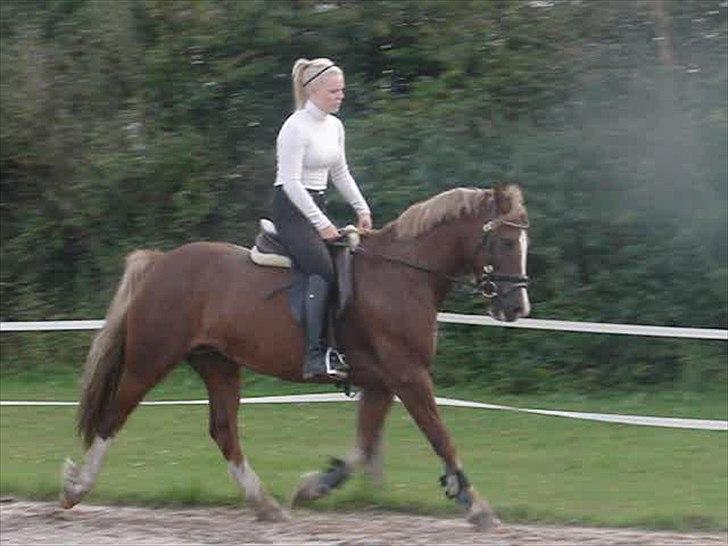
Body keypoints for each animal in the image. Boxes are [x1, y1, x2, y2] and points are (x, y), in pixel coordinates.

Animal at [61, 183, 528, 528]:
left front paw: (314, 486)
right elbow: (441, 437)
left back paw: (265, 504)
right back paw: (75, 489)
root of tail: (160, 263)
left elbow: (364, 447)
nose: (517, 308)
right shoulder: (409, 376)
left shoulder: (382, 383)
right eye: (505, 241)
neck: (402, 275)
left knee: (223, 430)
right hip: (151, 358)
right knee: (114, 415)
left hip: (218, 364)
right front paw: (476, 505)